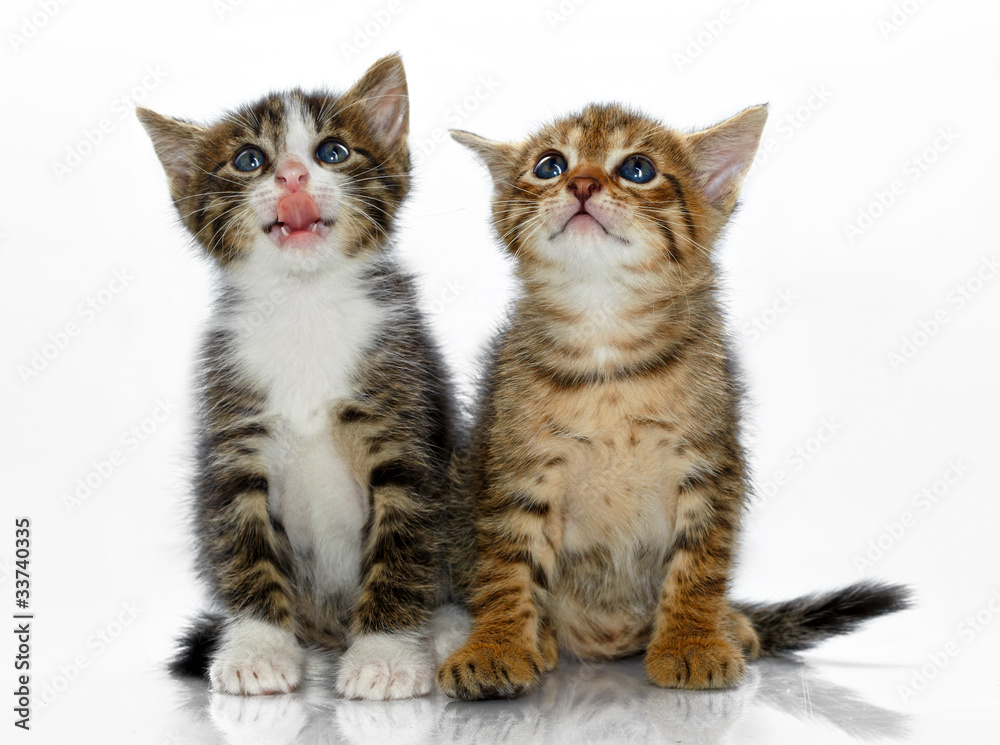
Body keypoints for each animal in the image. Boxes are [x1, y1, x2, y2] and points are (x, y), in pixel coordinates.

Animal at [138, 55, 458, 700]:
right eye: (249, 159)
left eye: (332, 151)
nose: (290, 175)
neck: (304, 305)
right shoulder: (234, 439)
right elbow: (243, 547)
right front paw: (258, 648)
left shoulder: (405, 428)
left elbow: (403, 547)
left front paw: (386, 654)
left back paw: (440, 633)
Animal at [442, 103, 912, 696]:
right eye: (550, 165)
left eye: (637, 169)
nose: (581, 183)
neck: (606, 342)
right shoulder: (515, 468)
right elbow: (506, 565)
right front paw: (497, 644)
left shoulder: (711, 463)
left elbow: (699, 565)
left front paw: (693, 641)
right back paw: (544, 639)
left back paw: (730, 624)